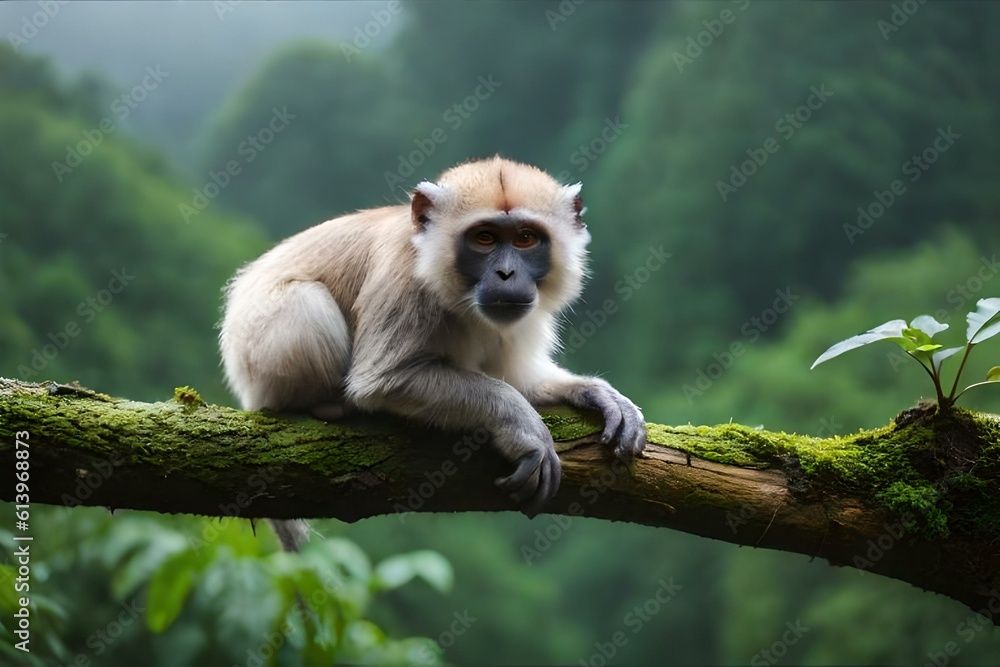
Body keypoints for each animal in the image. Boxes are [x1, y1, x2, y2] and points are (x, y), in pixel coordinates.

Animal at [219, 156, 646, 551]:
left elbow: (519, 379)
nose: (506, 274)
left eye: (526, 238)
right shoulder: (404, 280)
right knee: (307, 302)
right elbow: (383, 383)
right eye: (485, 238)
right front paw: (522, 426)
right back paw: (323, 405)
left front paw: (597, 394)